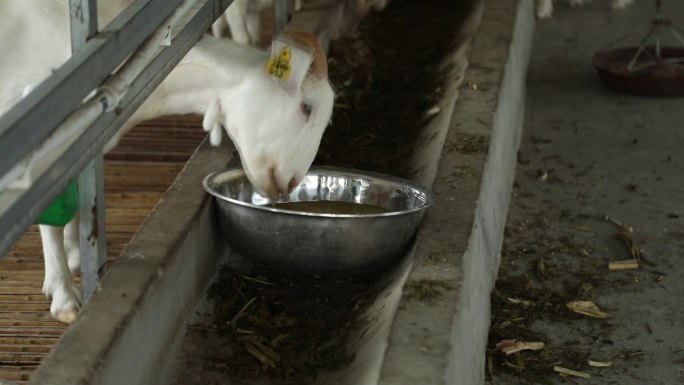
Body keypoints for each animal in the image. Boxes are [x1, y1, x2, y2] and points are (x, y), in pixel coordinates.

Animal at [0, 0, 336, 324]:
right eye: (306, 107)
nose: (291, 182)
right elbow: (49, 222)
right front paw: (63, 295)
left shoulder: (82, 145)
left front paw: (73, 252)